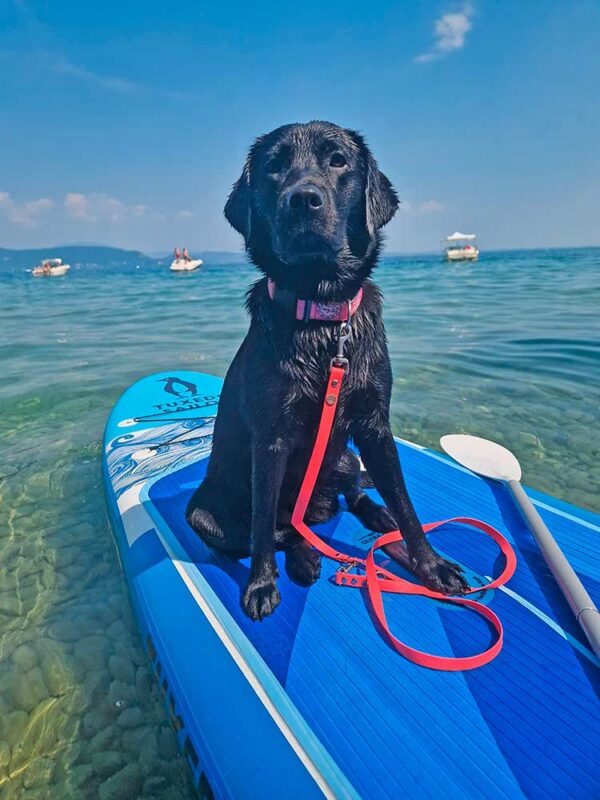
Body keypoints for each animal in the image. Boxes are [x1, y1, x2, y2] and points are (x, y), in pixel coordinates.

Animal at [188, 120, 468, 620]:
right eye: (274, 167)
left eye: (338, 161)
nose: (303, 199)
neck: (323, 317)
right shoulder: (271, 440)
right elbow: (263, 528)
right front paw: (261, 583)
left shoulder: (375, 425)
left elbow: (406, 503)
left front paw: (432, 564)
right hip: (204, 513)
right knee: (281, 527)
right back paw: (305, 555)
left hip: (346, 456)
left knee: (352, 493)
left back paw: (375, 514)